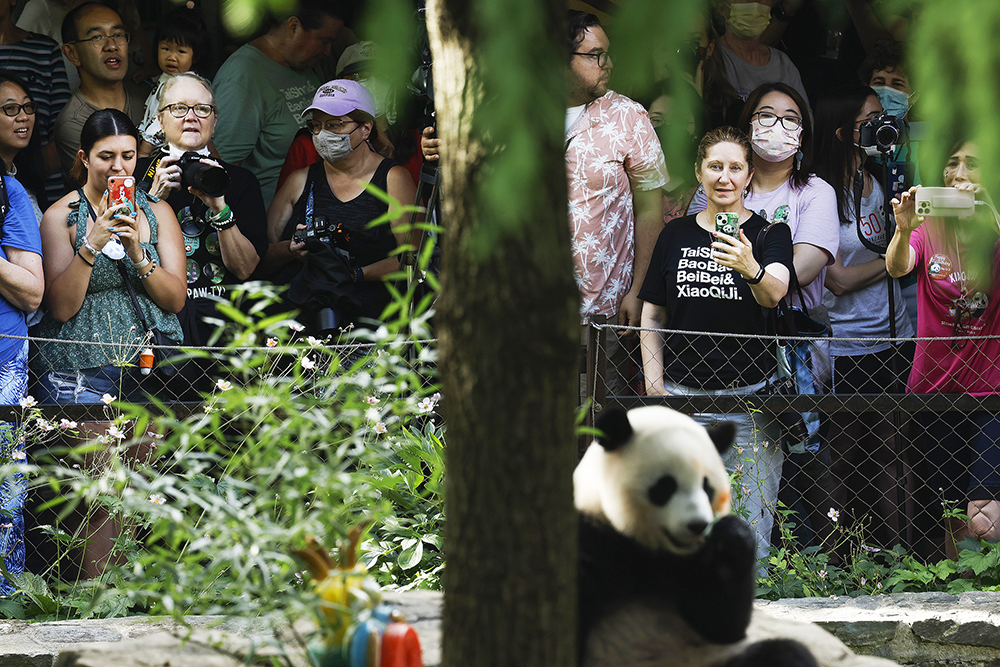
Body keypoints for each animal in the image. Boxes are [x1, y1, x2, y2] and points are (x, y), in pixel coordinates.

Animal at [576, 408, 816, 667]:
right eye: (665, 487)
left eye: (706, 487)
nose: (698, 525)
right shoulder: (589, 534)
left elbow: (719, 623)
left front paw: (732, 537)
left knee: (785, 654)